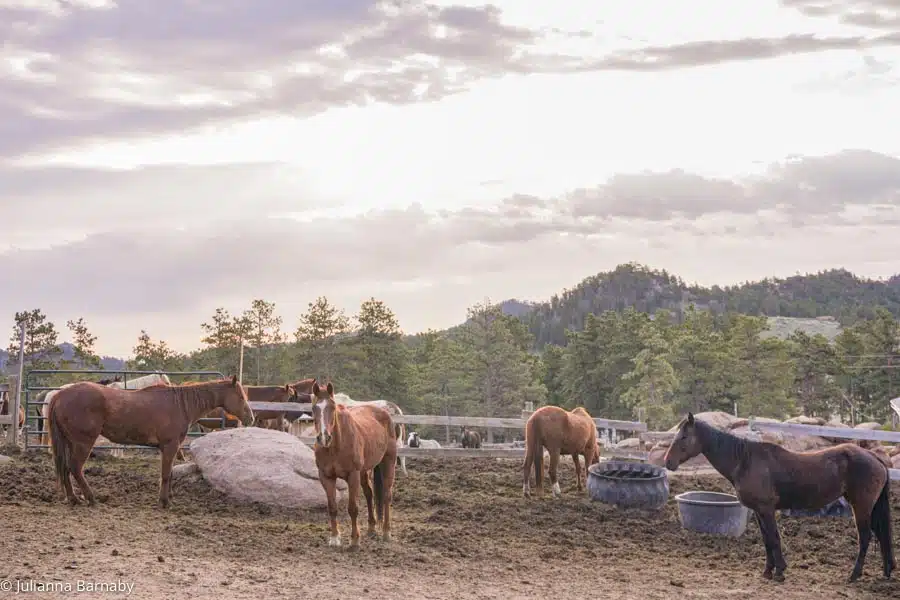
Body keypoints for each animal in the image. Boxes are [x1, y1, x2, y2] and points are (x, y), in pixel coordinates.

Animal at [49, 376, 253, 506]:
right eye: (241, 396)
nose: (250, 418)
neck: (180, 404)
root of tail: (60, 395)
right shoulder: (170, 446)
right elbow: (166, 474)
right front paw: (164, 502)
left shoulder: (169, 448)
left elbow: (170, 473)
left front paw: (169, 497)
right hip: (83, 443)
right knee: (75, 468)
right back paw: (90, 498)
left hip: (69, 443)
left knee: (65, 468)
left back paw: (74, 499)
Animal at [312, 380, 398, 548]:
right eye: (314, 408)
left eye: (332, 407)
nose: (324, 437)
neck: (335, 446)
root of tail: (384, 412)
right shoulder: (326, 476)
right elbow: (332, 507)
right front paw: (334, 538)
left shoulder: (352, 475)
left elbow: (353, 508)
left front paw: (354, 540)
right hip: (364, 471)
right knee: (370, 494)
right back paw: (371, 529)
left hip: (388, 462)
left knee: (386, 495)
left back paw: (386, 532)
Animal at [664, 412, 888, 580]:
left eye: (683, 437)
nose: (668, 462)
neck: (745, 461)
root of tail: (873, 457)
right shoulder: (758, 512)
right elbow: (766, 540)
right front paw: (768, 571)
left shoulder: (767, 509)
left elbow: (773, 537)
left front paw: (779, 571)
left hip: (861, 507)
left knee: (865, 537)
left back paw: (854, 575)